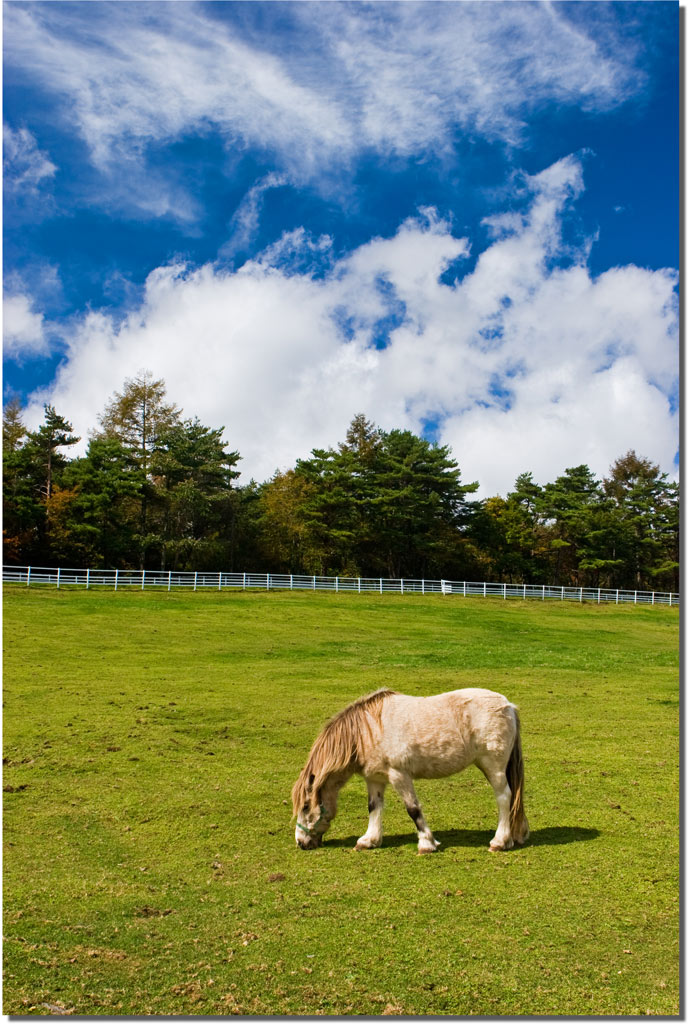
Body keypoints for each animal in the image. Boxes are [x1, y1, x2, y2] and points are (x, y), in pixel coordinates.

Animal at [292, 688, 528, 856]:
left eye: (306, 806)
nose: (300, 843)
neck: (367, 731)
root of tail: (507, 705)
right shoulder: (375, 779)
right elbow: (374, 807)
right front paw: (369, 840)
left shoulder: (399, 775)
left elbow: (413, 809)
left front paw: (426, 843)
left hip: (493, 766)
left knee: (504, 797)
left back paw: (499, 841)